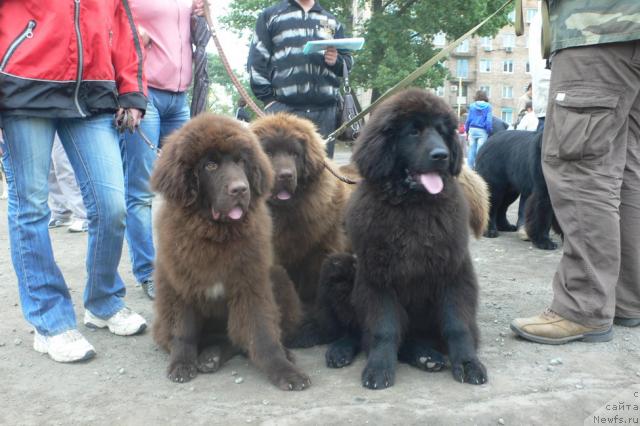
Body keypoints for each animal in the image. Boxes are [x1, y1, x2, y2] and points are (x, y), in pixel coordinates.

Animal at [150, 114, 310, 392]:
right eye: (210, 165)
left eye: (240, 161)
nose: (240, 189)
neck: (216, 236)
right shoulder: (181, 284)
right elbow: (184, 332)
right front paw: (181, 364)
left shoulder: (251, 283)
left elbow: (262, 334)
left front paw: (285, 371)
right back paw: (208, 356)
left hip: (279, 278)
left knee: (237, 339)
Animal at [312, 89, 488, 390]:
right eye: (413, 131)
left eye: (442, 132)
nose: (441, 155)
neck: (412, 208)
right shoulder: (378, 277)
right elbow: (384, 329)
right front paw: (379, 368)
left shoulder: (454, 271)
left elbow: (457, 325)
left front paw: (467, 363)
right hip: (337, 266)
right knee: (357, 332)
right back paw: (341, 350)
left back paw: (426, 357)